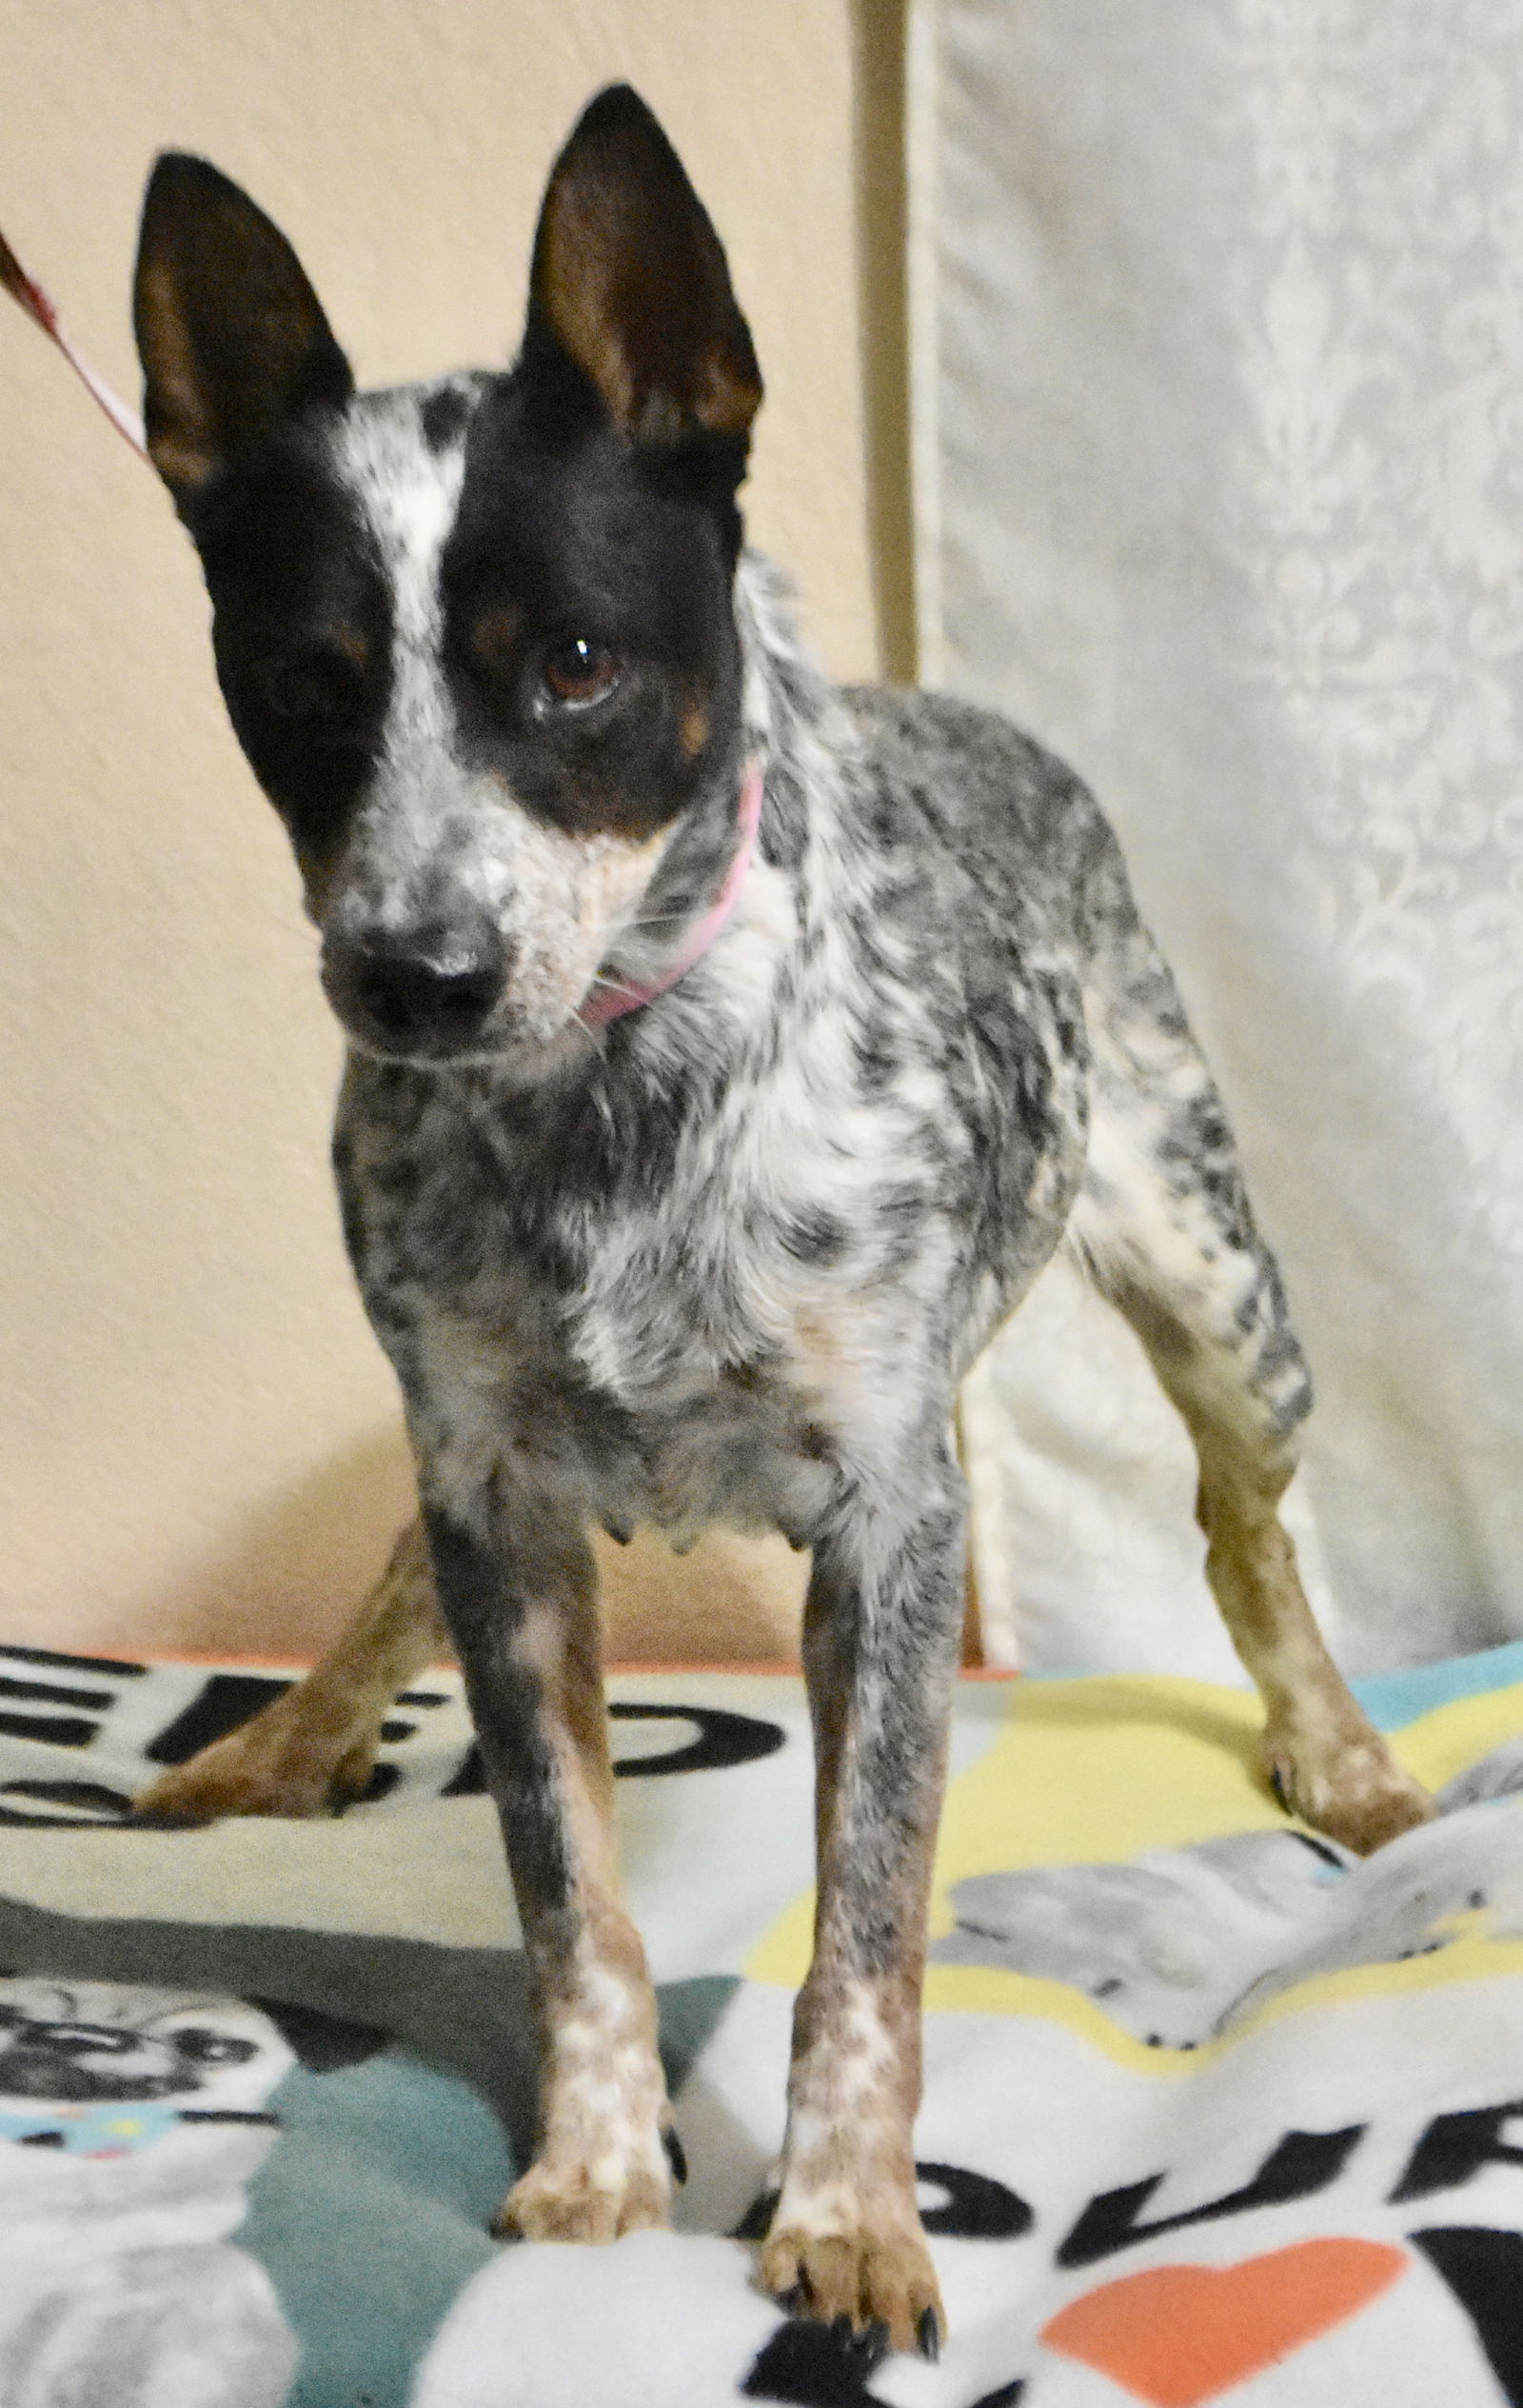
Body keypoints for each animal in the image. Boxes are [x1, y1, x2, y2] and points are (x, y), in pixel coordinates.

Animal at [127, 89, 1424, 2350]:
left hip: (1221, 1297)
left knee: (1245, 1529)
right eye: (301, 684)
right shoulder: (496, 1494)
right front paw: (590, 2163)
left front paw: (849, 2207)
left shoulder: (891, 1527)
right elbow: (567, 1894)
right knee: (383, 1562)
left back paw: (1336, 1750)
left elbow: (869, 1928)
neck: (609, 1115)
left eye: (573, 664)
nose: (414, 976)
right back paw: (292, 1729)